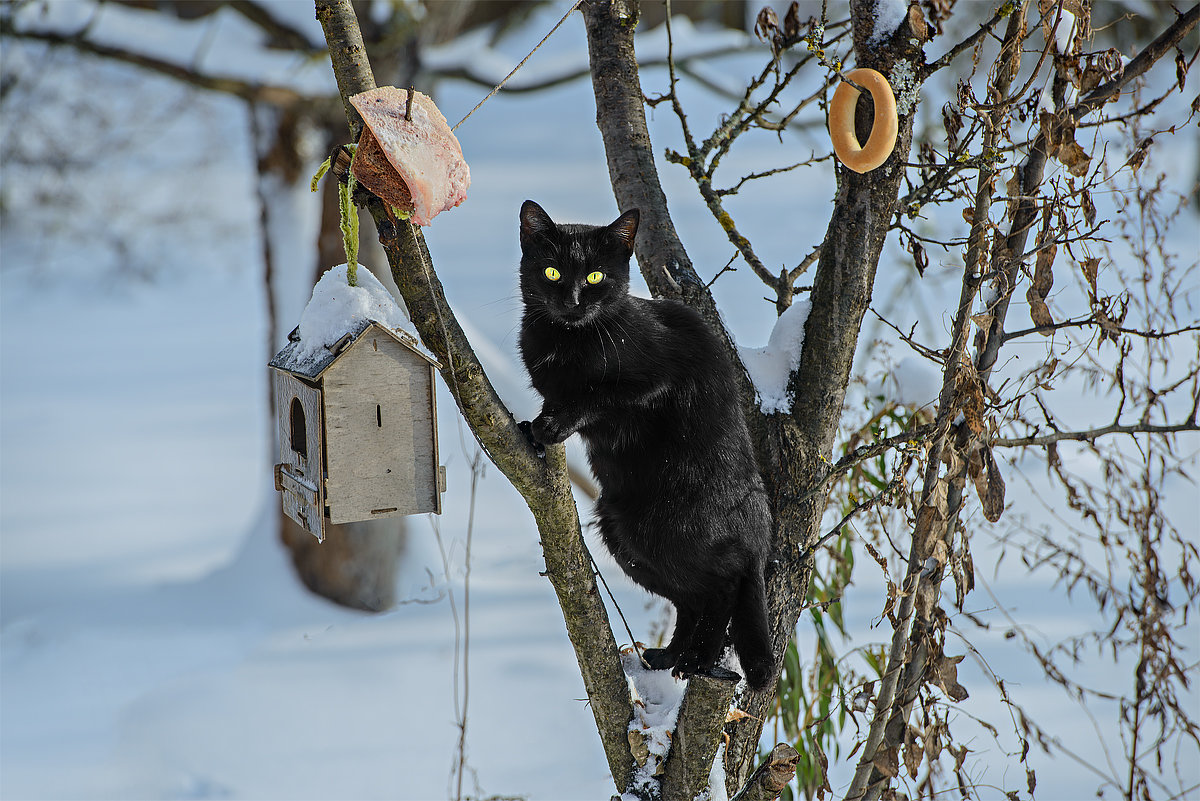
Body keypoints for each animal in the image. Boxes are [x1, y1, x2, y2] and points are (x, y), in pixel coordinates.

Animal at [520, 199, 772, 690]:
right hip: (626, 537)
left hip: (662, 530)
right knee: (693, 598)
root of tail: (759, 531)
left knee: (723, 585)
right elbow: (558, 399)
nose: (573, 301)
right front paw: (532, 429)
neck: (566, 340)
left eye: (595, 276)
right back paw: (671, 657)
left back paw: (697, 663)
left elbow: (596, 395)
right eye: (552, 272)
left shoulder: (653, 380)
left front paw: (553, 427)